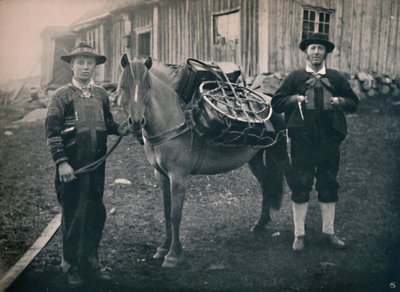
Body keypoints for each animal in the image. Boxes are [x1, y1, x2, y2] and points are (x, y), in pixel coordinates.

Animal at [118, 53, 290, 268]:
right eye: (123, 86)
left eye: (148, 87)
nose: (135, 122)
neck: (172, 120)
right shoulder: (161, 175)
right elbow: (166, 212)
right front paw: (163, 248)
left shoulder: (178, 177)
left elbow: (175, 215)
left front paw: (173, 255)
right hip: (255, 159)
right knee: (266, 184)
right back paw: (260, 224)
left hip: (280, 153)